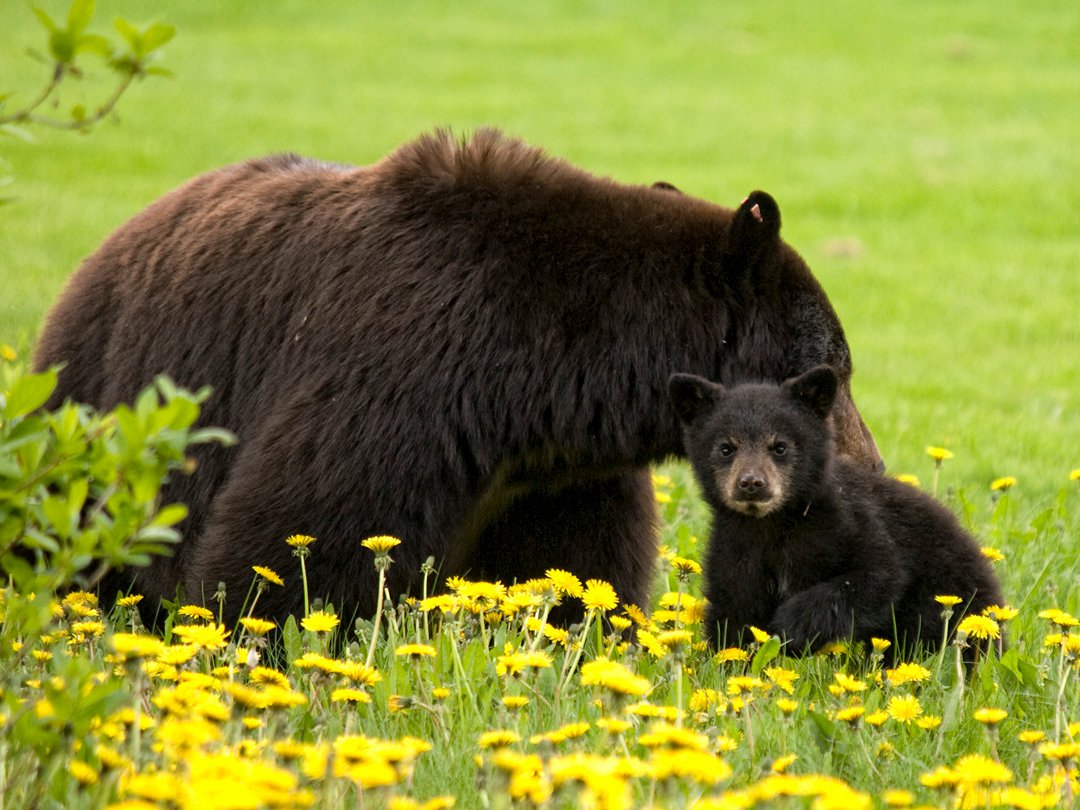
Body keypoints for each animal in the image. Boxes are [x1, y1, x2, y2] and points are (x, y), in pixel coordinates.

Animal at [33, 131, 881, 626]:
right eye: (836, 371)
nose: (867, 468)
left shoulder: (554, 474)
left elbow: (576, 564)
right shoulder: (396, 375)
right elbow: (298, 534)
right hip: (109, 403)